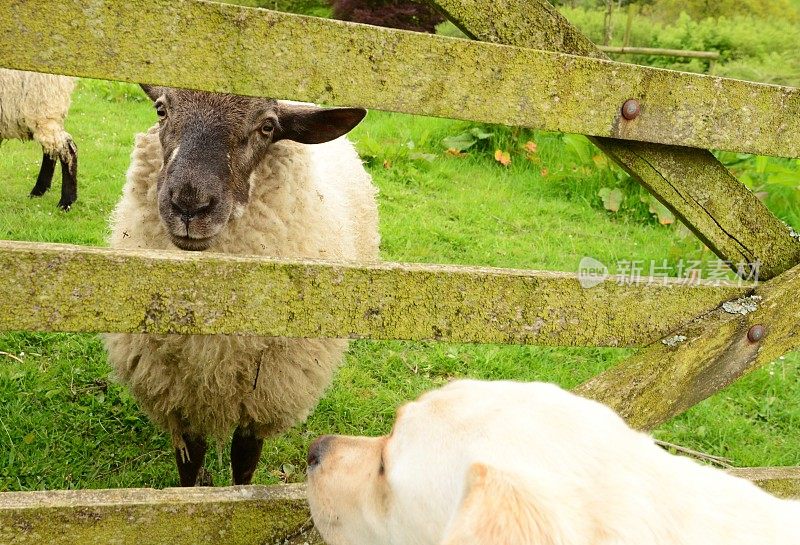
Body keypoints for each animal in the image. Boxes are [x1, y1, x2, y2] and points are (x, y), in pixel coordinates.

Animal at [102, 87, 382, 486]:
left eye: (267, 126)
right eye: (161, 109)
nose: (190, 204)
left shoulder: (266, 394)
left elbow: (244, 459)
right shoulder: (178, 393)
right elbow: (190, 460)